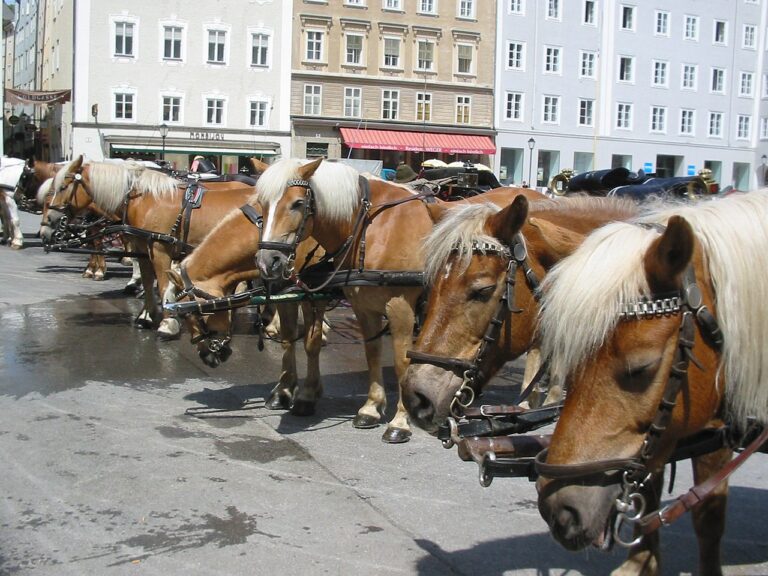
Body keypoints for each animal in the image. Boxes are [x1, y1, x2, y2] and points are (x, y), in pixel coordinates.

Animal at [48, 156, 255, 338]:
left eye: (63, 187)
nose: (50, 221)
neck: (146, 201)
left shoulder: (159, 248)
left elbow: (163, 286)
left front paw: (168, 323)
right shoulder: (143, 248)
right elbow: (148, 282)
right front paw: (147, 315)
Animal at [164, 200, 326, 412]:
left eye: (188, 313)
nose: (205, 356)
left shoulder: (315, 296)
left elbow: (311, 344)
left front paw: (309, 394)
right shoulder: (286, 293)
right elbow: (287, 340)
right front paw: (284, 391)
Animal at [252, 155, 540, 444]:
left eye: (298, 204)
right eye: (262, 203)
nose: (268, 261)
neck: (372, 227)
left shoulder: (400, 306)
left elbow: (402, 363)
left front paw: (400, 422)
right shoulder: (363, 306)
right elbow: (369, 353)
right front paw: (370, 407)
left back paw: (530, 402)